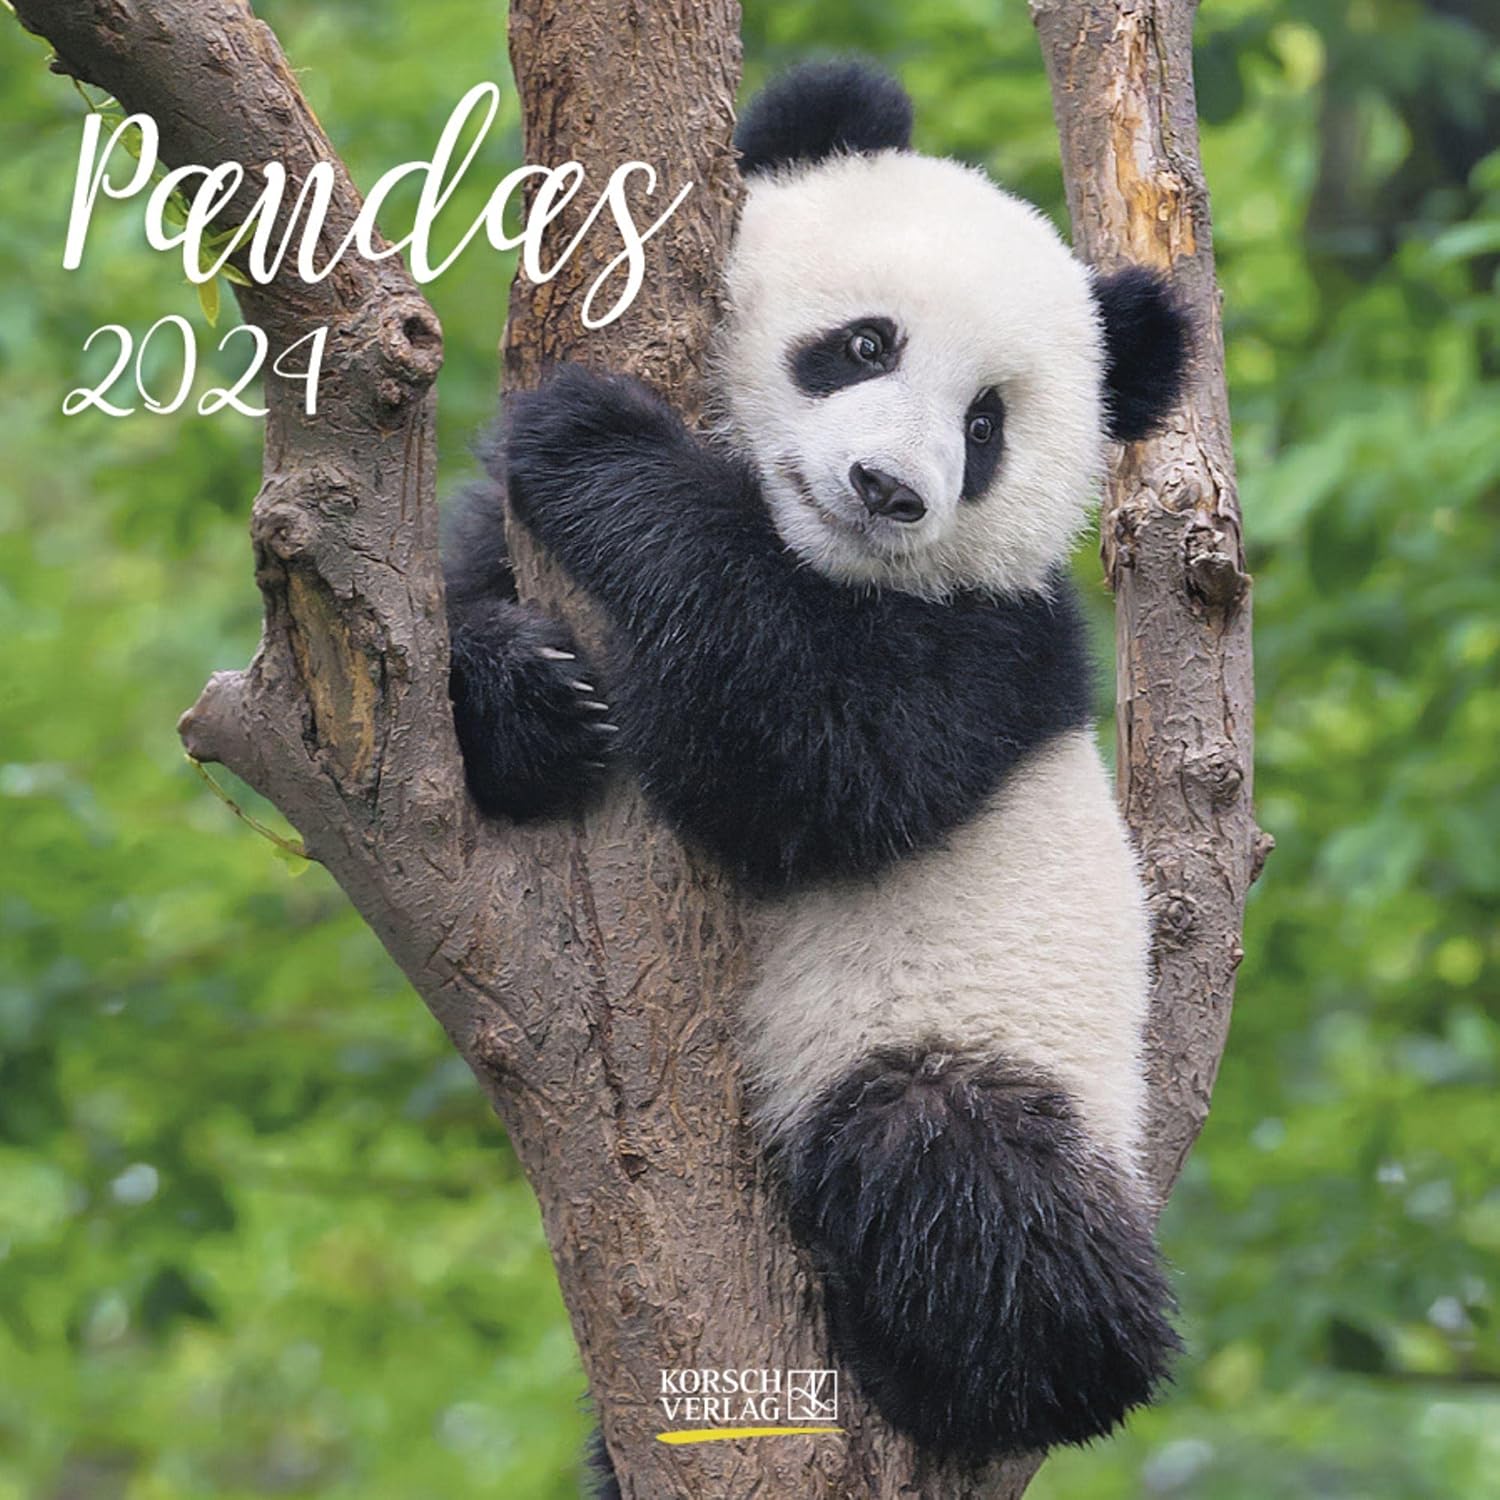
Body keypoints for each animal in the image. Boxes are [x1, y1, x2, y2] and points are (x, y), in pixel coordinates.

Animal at [445, 60, 1190, 1470]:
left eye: (986, 424)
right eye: (864, 344)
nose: (889, 489)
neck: (820, 557)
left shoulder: (995, 647)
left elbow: (812, 756)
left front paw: (595, 441)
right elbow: (448, 626)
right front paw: (532, 698)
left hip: (978, 1038)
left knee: (963, 1180)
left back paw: (980, 1367)